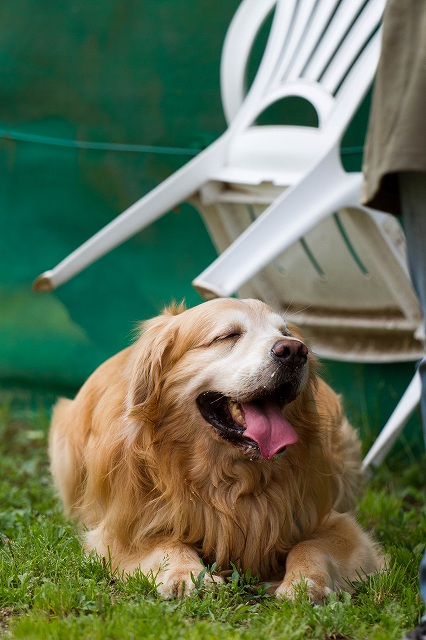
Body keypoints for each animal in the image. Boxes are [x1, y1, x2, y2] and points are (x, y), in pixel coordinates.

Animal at [50, 298, 382, 600]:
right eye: (228, 336)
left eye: (286, 333)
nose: (295, 351)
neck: (227, 480)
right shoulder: (123, 529)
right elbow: (167, 544)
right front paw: (186, 575)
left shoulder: (335, 521)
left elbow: (309, 545)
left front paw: (305, 582)